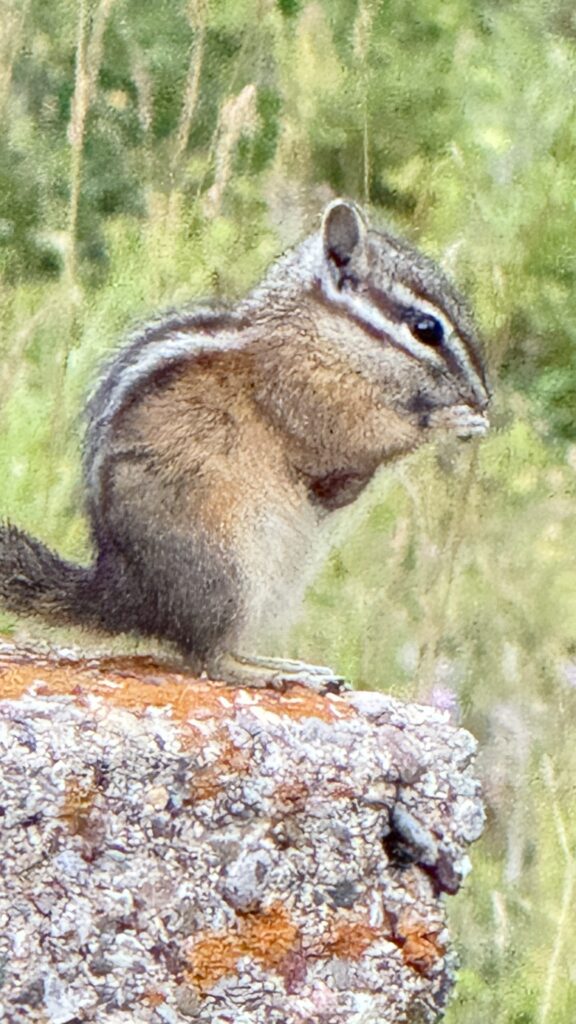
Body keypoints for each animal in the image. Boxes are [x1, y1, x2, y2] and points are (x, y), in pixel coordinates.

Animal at [0, 200, 490, 690]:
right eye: (426, 328)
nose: (483, 396)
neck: (323, 331)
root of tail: (127, 593)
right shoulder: (309, 395)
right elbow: (358, 434)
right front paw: (450, 418)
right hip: (228, 570)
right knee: (209, 657)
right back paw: (278, 676)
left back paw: (289, 665)